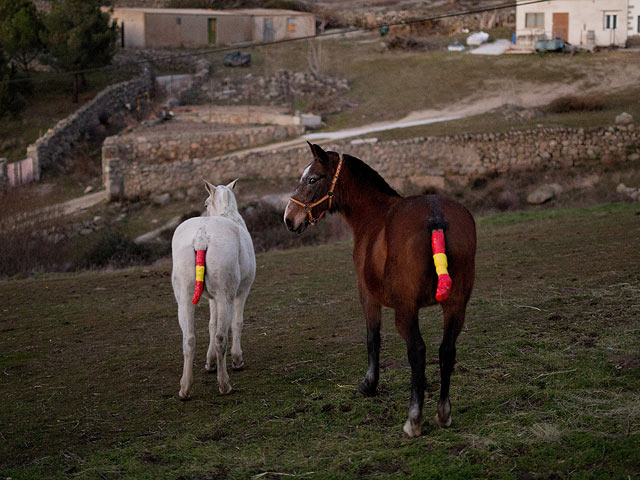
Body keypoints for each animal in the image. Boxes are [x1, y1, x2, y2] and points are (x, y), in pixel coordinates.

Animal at [172, 178, 258, 400]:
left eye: (205, 203)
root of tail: (202, 235)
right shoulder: (242, 291)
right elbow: (237, 323)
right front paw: (237, 360)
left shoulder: (212, 298)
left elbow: (210, 324)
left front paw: (209, 362)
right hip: (226, 294)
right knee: (221, 336)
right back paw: (224, 384)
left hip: (185, 296)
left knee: (188, 338)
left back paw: (185, 389)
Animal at [284, 143, 476, 438]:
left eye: (313, 179)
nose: (289, 219)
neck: (373, 214)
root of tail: (436, 216)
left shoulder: (367, 294)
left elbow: (372, 338)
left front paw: (369, 384)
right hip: (456, 305)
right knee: (447, 351)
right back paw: (443, 414)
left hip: (406, 310)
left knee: (418, 351)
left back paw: (414, 419)